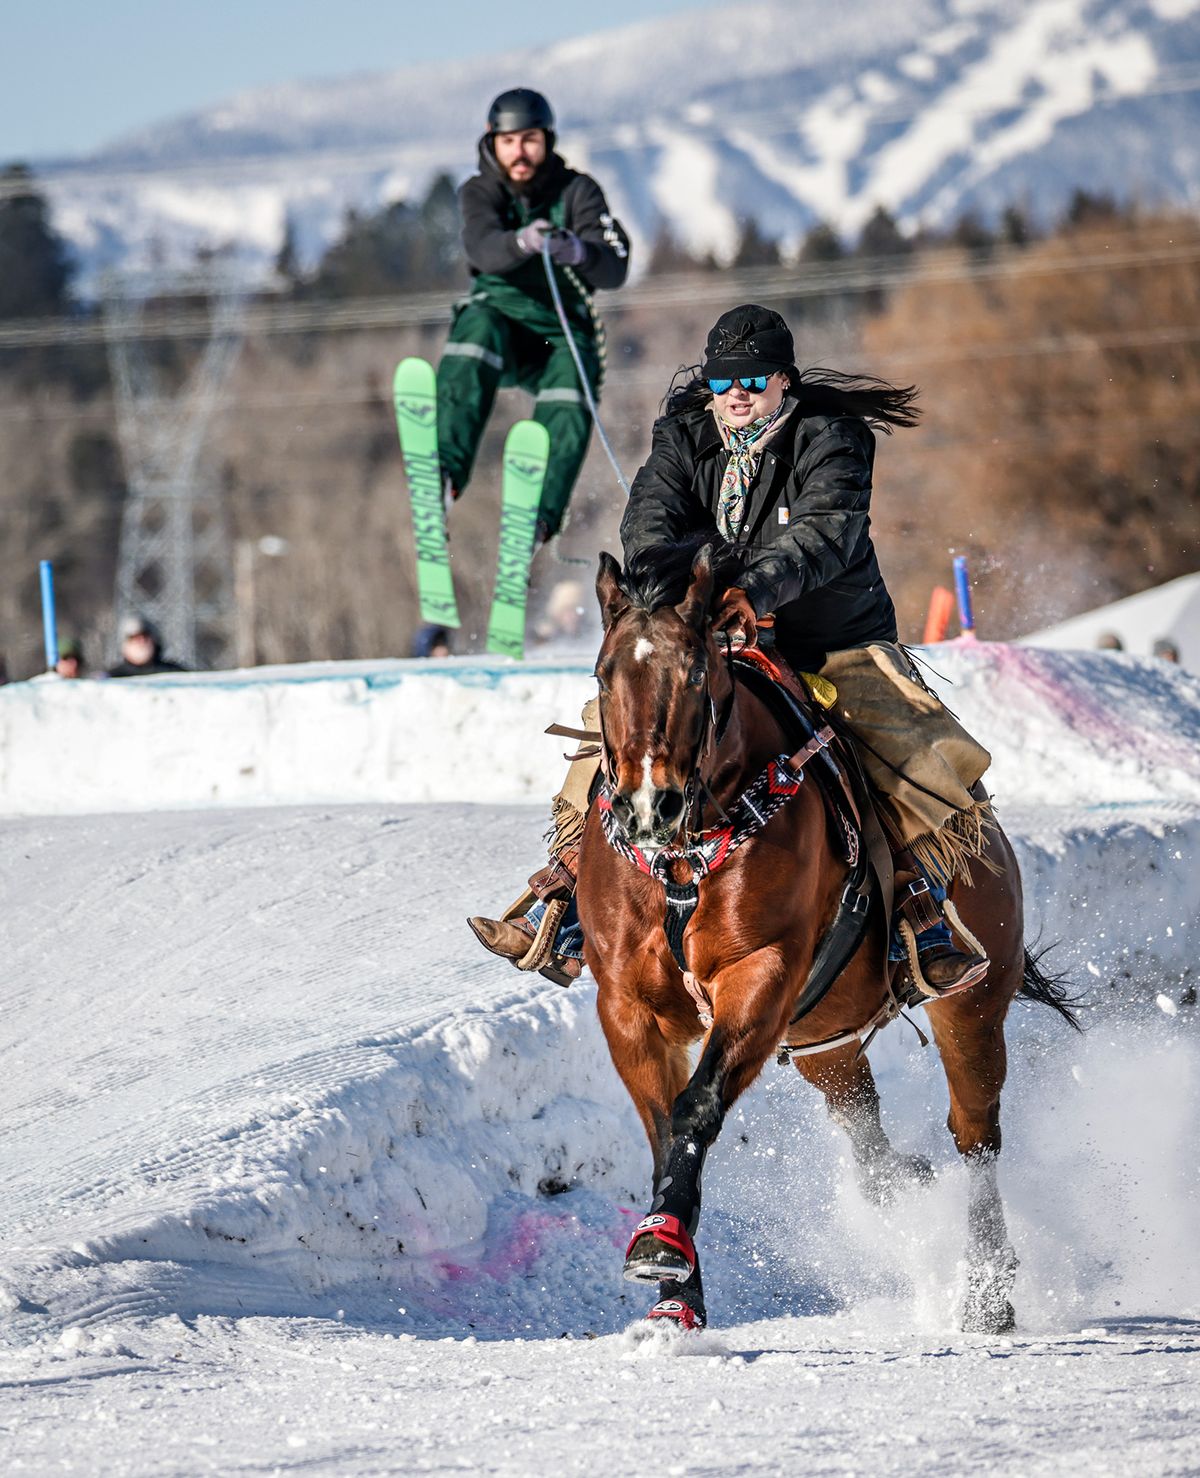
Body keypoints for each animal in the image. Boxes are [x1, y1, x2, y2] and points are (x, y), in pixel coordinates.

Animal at [573, 546, 1075, 1342]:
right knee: (866, 1139)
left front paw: (661, 1248)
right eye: (602, 674)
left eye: (695, 673)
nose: (649, 805)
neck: (684, 859)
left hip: (970, 1004)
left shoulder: (762, 974)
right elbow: (662, 1131)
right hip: (823, 1040)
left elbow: (695, 1107)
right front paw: (675, 1295)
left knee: (975, 1134)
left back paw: (988, 1291)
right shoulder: (628, 1006)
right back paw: (907, 1185)